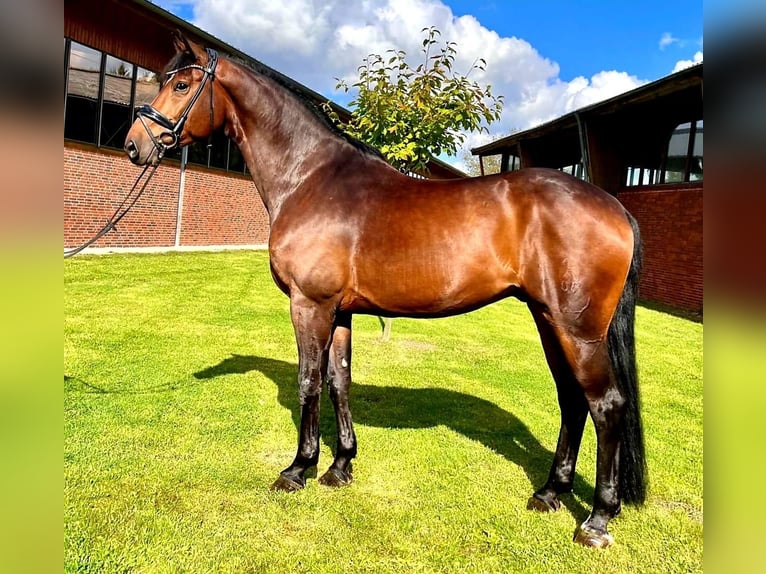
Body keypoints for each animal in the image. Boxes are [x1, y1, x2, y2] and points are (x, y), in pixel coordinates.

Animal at [126, 33, 648, 552]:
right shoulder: (338, 312)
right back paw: (549, 493)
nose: (135, 144)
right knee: (572, 400)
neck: (309, 178)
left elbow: (308, 381)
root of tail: (614, 208)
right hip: (548, 319)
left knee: (606, 405)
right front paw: (339, 467)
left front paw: (298, 469)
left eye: (182, 84)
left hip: (577, 330)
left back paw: (597, 520)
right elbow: (339, 380)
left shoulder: (309, 305)